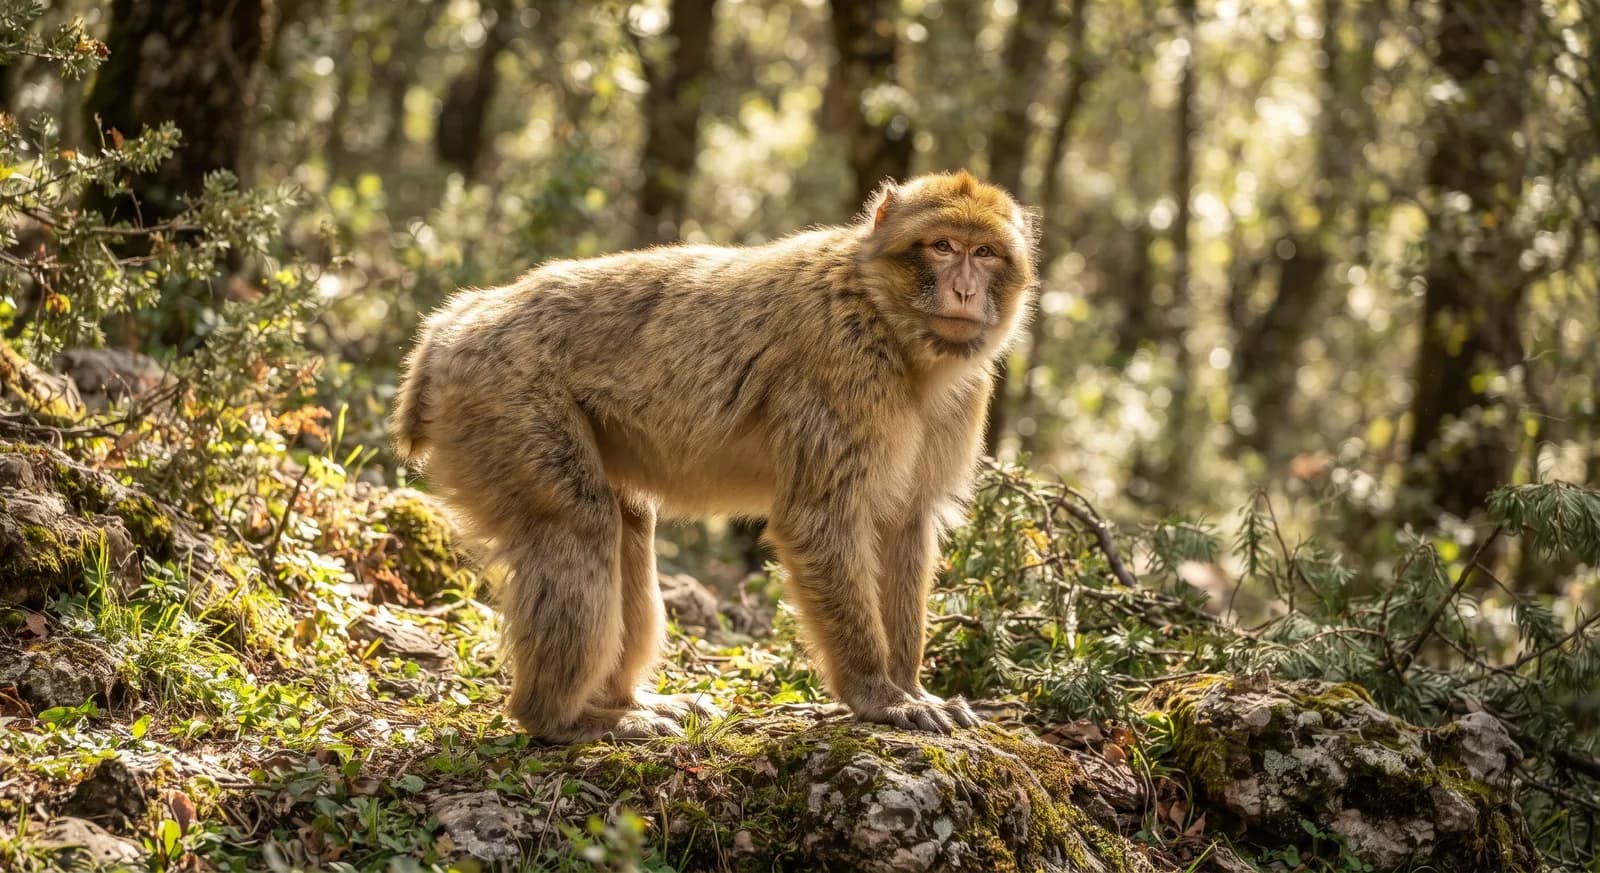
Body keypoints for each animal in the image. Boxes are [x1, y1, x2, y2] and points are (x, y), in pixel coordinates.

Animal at [392, 171, 1038, 743]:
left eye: (984, 253)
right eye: (943, 246)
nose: (964, 290)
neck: (891, 325)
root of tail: (451, 324)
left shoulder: (961, 398)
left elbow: (905, 524)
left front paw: (910, 686)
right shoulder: (845, 365)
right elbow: (819, 523)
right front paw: (877, 694)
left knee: (626, 523)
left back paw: (622, 699)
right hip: (504, 400)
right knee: (579, 524)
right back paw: (561, 718)